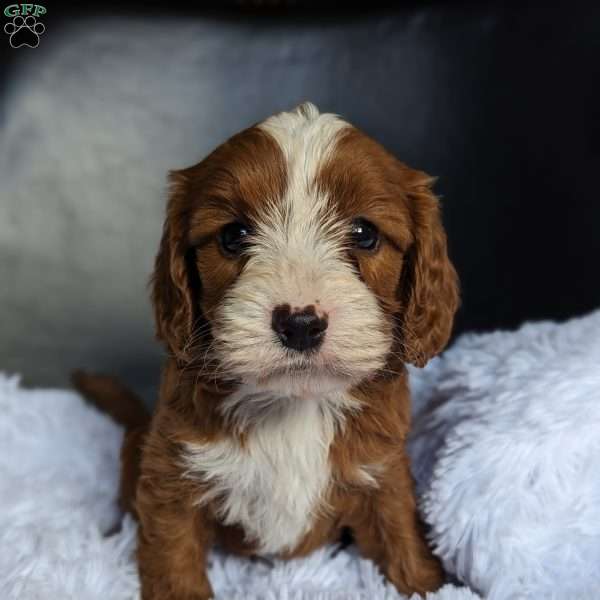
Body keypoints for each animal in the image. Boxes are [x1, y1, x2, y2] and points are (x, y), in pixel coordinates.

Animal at [75, 104, 460, 600]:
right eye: (234, 234)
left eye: (364, 233)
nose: (300, 323)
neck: (292, 404)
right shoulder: (171, 473)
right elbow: (172, 557)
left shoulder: (382, 467)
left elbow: (401, 537)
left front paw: (427, 581)